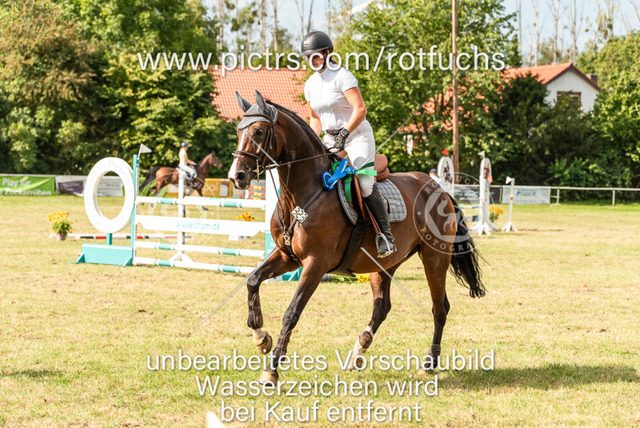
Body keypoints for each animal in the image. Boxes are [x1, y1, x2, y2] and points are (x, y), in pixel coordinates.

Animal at [228, 90, 485, 384]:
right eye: (239, 131)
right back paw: (357, 353)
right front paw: (261, 338)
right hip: (383, 264)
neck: (305, 192)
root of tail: (440, 189)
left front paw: (271, 369)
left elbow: (292, 312)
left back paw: (429, 363)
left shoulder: (315, 264)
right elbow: (252, 281)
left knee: (439, 308)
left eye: (259, 131)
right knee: (381, 307)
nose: (236, 176)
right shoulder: (286, 256)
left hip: (435, 259)